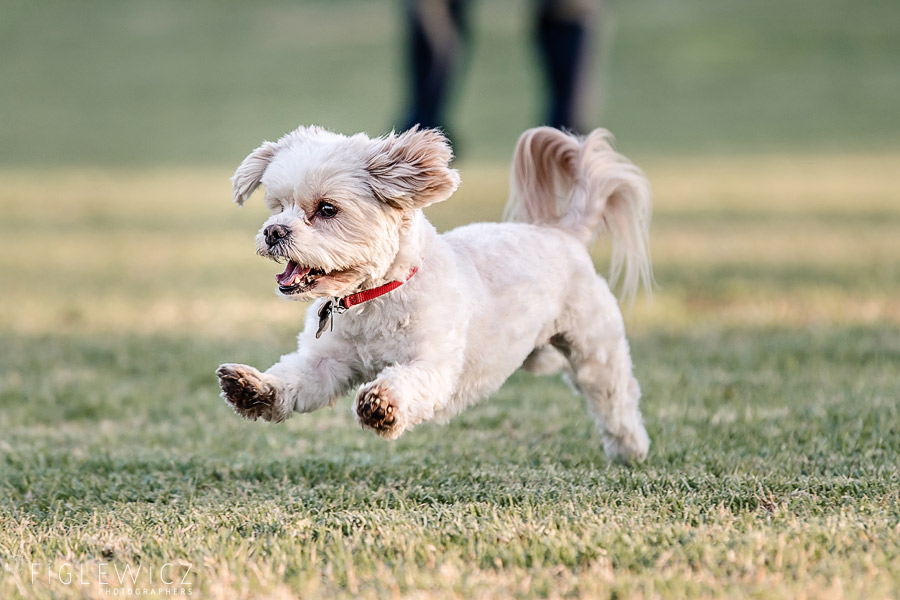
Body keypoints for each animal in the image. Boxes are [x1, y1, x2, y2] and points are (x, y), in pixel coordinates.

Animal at [218, 125, 652, 464]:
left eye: (327, 209)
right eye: (278, 205)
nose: (274, 231)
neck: (372, 298)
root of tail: (561, 231)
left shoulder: (435, 363)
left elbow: (409, 380)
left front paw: (382, 403)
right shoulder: (326, 362)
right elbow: (295, 380)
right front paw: (254, 389)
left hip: (595, 350)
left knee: (616, 399)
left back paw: (630, 450)